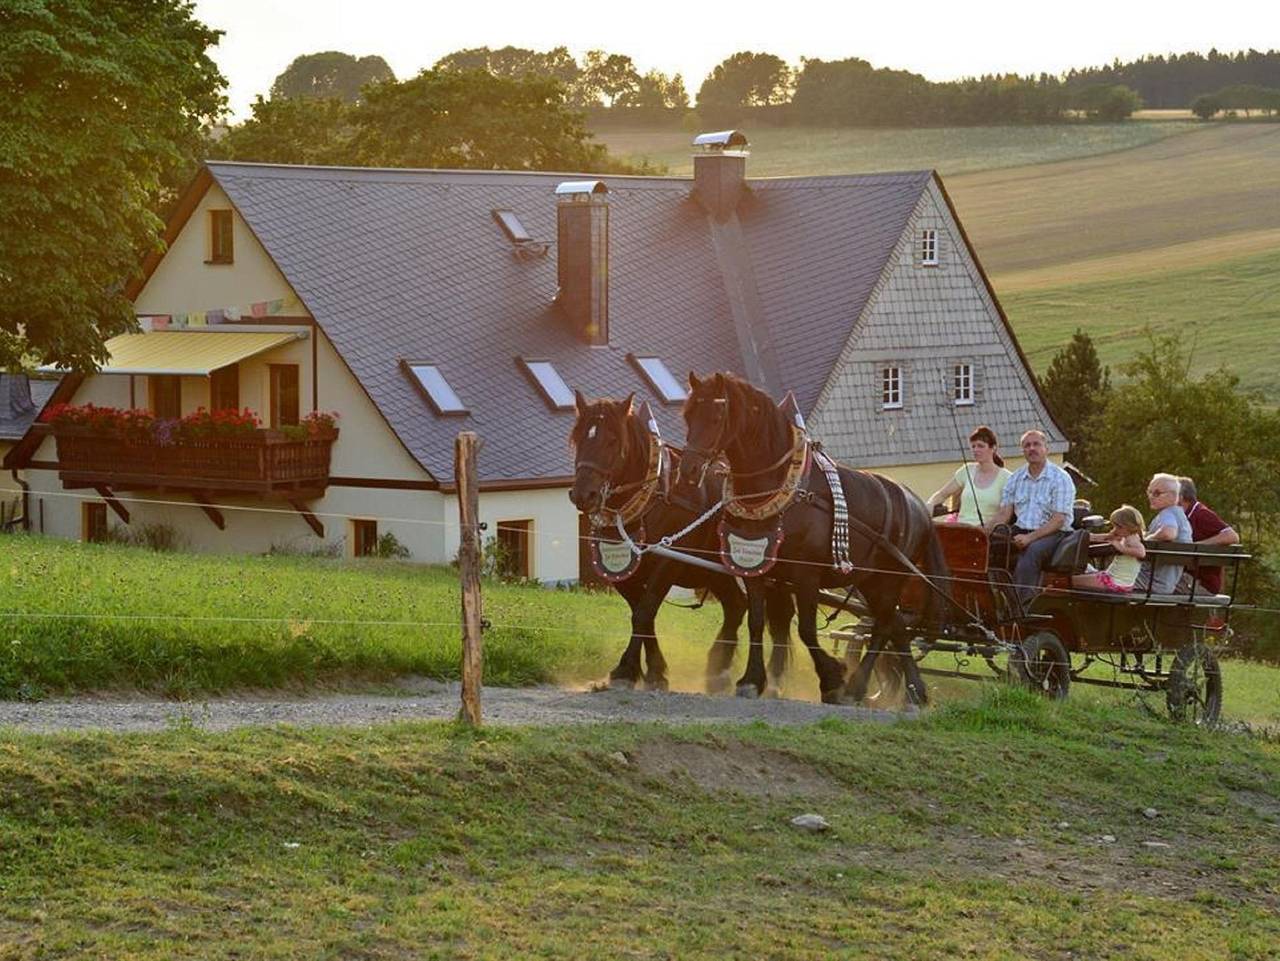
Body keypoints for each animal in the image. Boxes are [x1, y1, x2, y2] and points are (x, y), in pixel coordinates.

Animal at [568, 391, 788, 701]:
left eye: (612, 440)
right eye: (578, 438)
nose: (582, 495)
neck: (653, 497)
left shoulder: (668, 562)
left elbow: (644, 612)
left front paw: (627, 671)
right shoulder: (622, 569)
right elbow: (642, 615)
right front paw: (653, 671)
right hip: (716, 571)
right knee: (736, 605)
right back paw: (718, 670)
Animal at [675, 371, 947, 701]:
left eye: (716, 417)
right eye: (688, 414)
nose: (689, 469)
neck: (781, 489)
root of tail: (919, 507)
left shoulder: (806, 575)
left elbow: (806, 629)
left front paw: (832, 679)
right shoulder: (755, 568)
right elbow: (756, 622)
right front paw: (751, 680)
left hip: (888, 580)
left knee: (884, 626)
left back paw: (857, 687)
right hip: (870, 581)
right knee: (894, 625)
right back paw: (913, 691)